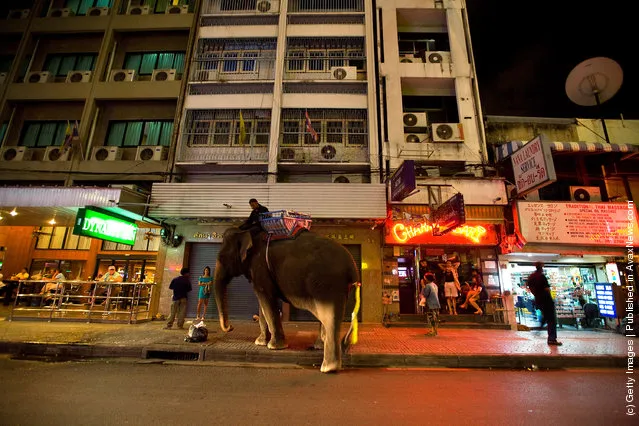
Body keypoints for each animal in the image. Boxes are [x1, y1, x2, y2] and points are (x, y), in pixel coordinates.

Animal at [214, 226, 360, 372]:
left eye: (222, 257)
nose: (231, 327)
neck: (248, 231)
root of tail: (352, 266)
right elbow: (263, 304)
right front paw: (260, 342)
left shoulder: (260, 268)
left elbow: (267, 302)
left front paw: (274, 347)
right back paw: (324, 346)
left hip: (327, 285)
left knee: (329, 318)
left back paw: (328, 368)